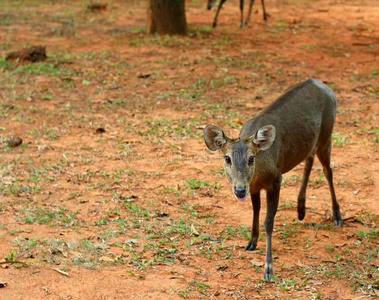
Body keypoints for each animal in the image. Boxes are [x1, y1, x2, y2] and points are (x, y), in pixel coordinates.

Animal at [205, 78, 344, 280]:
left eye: (251, 158)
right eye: (227, 158)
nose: (239, 190)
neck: (261, 172)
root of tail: (326, 88)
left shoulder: (277, 180)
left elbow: (268, 221)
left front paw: (268, 268)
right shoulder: (254, 187)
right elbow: (255, 211)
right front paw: (251, 242)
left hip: (327, 134)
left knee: (328, 170)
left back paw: (337, 216)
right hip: (310, 142)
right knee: (309, 159)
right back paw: (300, 209)